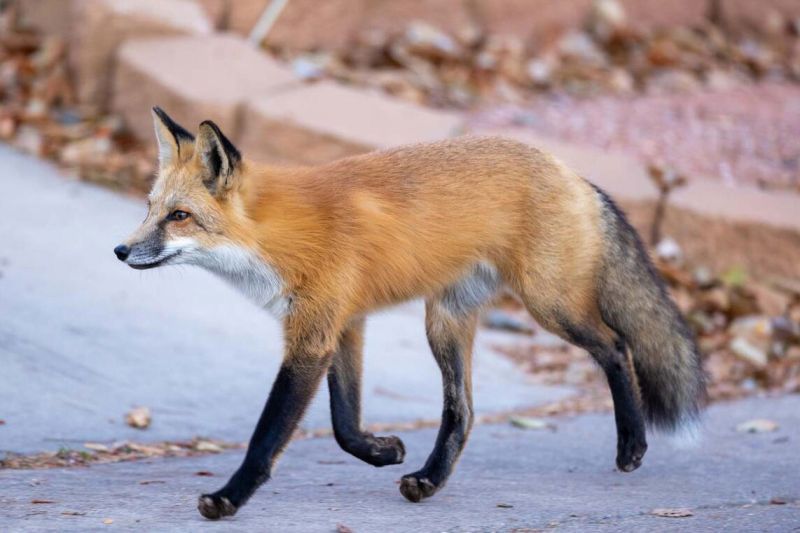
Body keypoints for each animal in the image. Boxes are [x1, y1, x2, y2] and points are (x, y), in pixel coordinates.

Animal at [114, 107, 706, 520]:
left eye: (179, 216)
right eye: (149, 209)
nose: (120, 251)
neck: (277, 236)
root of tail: (573, 174)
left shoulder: (313, 337)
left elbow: (267, 437)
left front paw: (229, 498)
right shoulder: (343, 326)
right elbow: (343, 425)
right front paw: (383, 451)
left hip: (550, 304)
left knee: (617, 347)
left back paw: (632, 444)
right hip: (444, 322)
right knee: (463, 412)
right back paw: (430, 479)